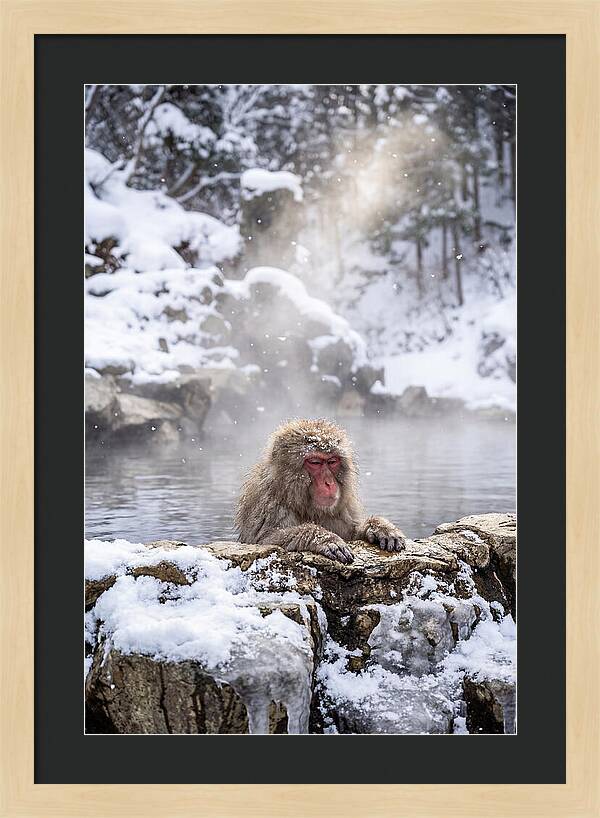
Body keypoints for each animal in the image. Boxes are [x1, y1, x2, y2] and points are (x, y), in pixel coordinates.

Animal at [235, 418, 407, 564]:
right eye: (315, 462)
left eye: (332, 461)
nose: (329, 483)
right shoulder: (267, 503)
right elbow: (265, 540)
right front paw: (324, 538)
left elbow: (352, 533)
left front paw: (379, 527)